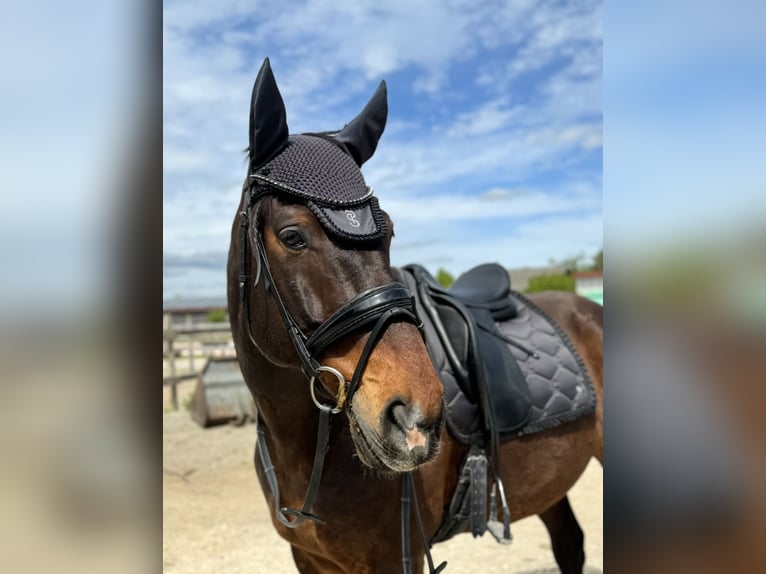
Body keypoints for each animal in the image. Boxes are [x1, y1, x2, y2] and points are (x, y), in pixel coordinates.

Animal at [227, 59, 603, 574]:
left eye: (388, 232)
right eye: (292, 236)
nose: (415, 417)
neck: (301, 449)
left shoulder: (391, 558)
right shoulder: (307, 557)